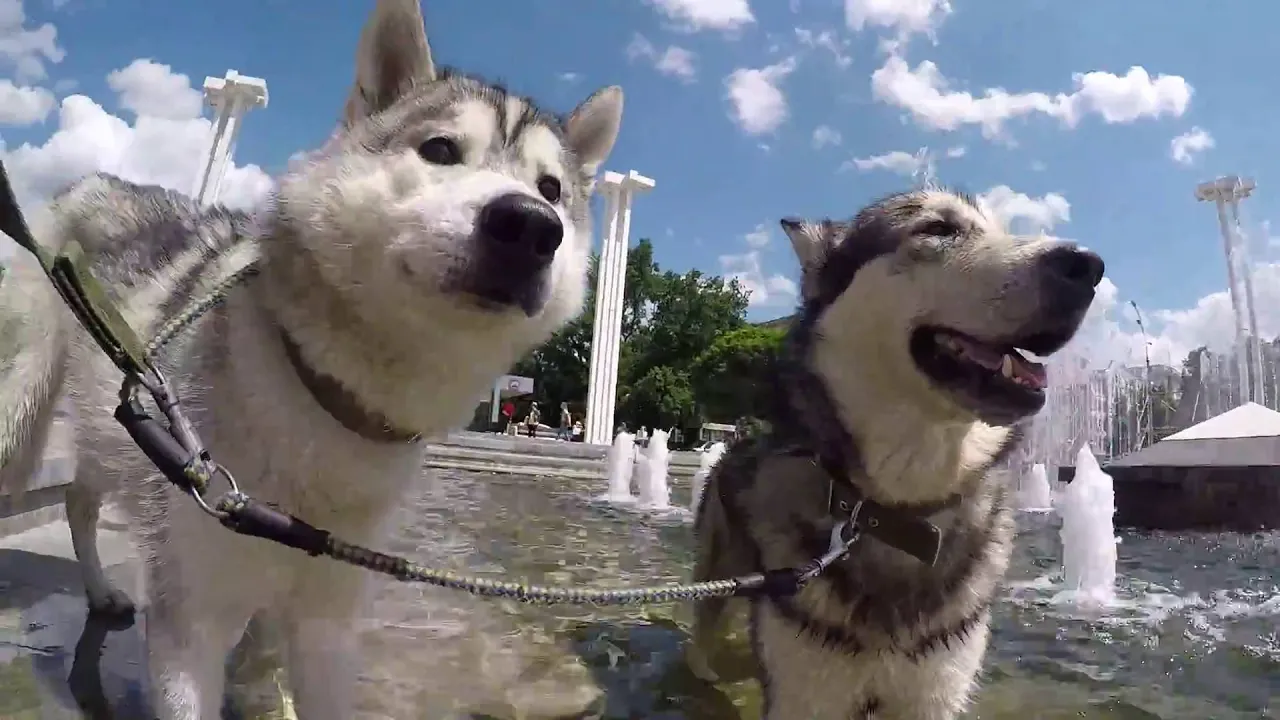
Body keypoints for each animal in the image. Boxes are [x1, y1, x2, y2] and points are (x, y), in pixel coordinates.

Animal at [0, 0, 622, 712]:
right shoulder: (193, 617)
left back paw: (102, 591)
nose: (530, 226)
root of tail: (92, 180)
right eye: (440, 150)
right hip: (21, 408)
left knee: (80, 496)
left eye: (552, 190)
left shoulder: (326, 620)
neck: (328, 401)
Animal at [691, 188, 1100, 712]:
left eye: (1002, 230)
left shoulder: (935, 693)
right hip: (719, 571)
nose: (1089, 265)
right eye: (938, 229)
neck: (898, 513)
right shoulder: (805, 695)